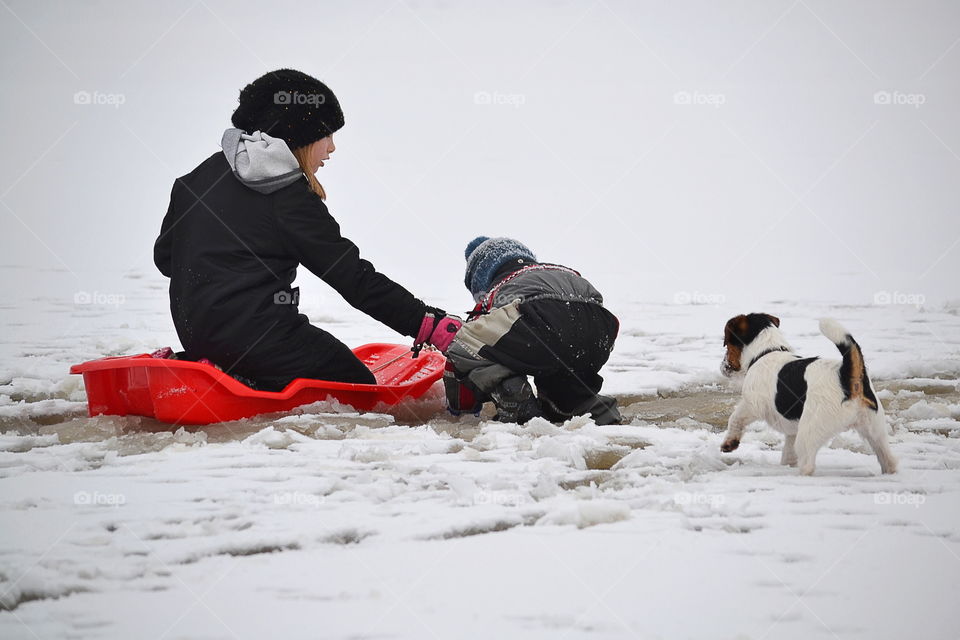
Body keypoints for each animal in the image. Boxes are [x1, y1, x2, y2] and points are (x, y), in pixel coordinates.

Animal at [724, 316, 896, 476]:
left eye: (726, 342)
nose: (724, 366)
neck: (766, 351)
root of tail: (845, 376)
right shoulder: (792, 430)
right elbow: (788, 452)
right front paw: (787, 464)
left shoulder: (752, 404)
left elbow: (735, 418)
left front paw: (729, 443)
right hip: (876, 430)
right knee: (889, 460)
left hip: (809, 432)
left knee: (808, 464)